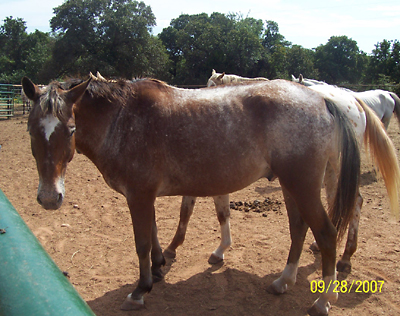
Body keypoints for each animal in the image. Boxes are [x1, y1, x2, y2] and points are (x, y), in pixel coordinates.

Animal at [24, 75, 362, 314]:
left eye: (70, 129)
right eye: (31, 131)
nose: (49, 198)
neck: (123, 119)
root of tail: (321, 99)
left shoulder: (139, 195)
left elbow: (142, 242)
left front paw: (140, 290)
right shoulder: (145, 196)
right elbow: (154, 234)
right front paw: (158, 268)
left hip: (303, 186)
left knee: (326, 235)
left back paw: (323, 301)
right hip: (291, 186)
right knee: (298, 229)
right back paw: (283, 281)